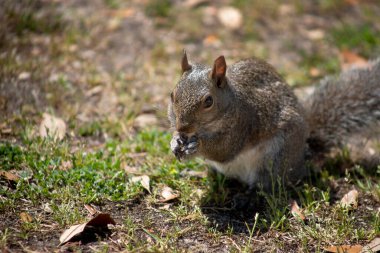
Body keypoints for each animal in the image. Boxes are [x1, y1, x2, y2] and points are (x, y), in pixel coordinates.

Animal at [168, 51, 378, 189]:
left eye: (208, 101)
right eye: (172, 95)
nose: (182, 128)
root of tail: (302, 159)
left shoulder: (242, 124)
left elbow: (225, 150)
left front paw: (197, 146)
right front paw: (174, 142)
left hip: (275, 158)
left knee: (267, 185)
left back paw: (248, 198)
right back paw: (199, 173)